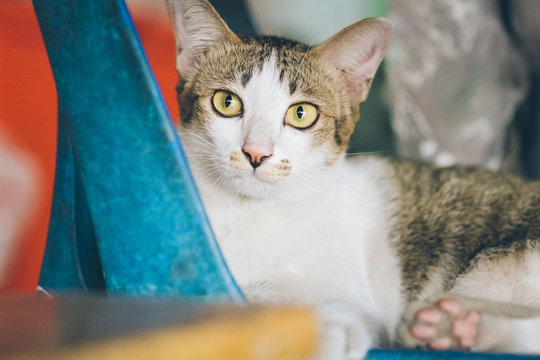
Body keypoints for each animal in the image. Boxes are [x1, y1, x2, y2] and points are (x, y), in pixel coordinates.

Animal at [166, 0, 540, 358]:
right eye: (226, 102)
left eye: (301, 113)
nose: (256, 153)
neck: (245, 212)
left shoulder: (357, 301)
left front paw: (323, 328)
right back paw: (452, 325)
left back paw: (454, 326)